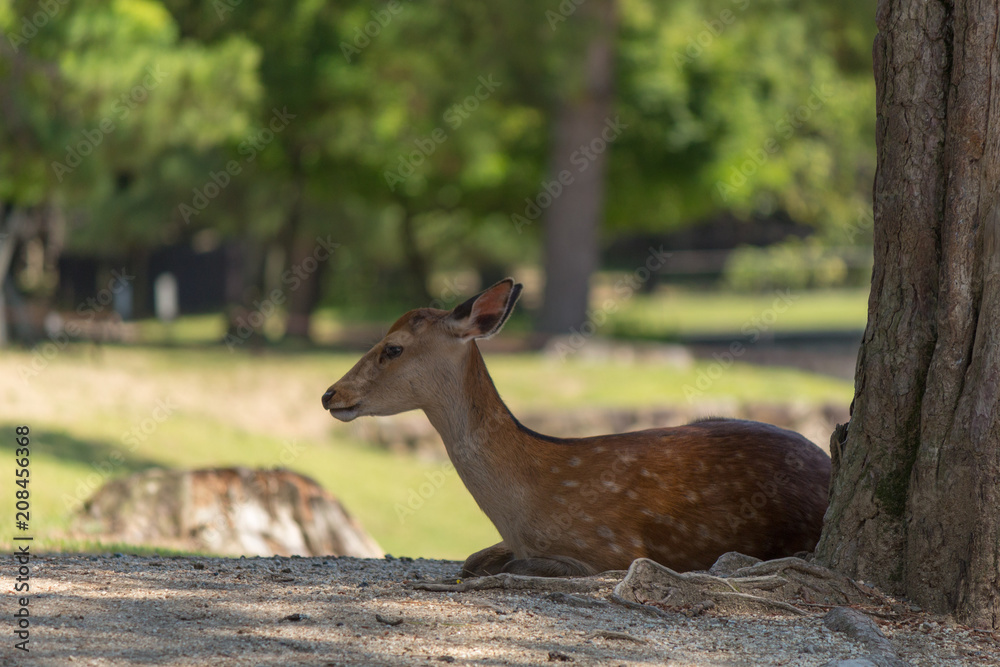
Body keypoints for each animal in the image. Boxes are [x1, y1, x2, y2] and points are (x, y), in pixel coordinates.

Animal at [322, 278, 831, 578]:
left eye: (393, 348)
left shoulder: (613, 548)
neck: (524, 505)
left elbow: (520, 567)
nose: (330, 394)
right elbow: (471, 560)